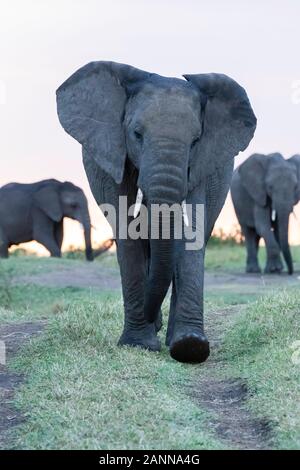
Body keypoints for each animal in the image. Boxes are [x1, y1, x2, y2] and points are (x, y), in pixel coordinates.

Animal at [56, 60, 255, 364]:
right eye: (137, 134)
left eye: (196, 140)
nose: (151, 318)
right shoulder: (113, 153)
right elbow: (126, 228)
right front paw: (138, 344)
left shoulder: (202, 161)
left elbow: (193, 229)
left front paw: (190, 347)